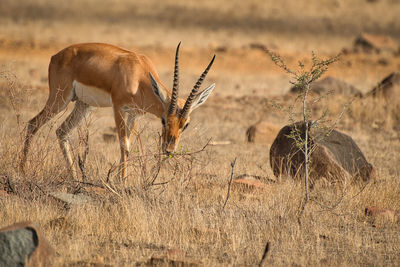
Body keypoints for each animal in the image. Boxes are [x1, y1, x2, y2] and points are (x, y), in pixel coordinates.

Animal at [20, 43, 216, 179]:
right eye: (163, 120)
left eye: (186, 124)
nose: (169, 149)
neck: (139, 75)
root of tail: (56, 56)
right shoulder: (118, 108)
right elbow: (124, 145)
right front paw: (122, 182)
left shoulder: (135, 114)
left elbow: (129, 144)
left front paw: (118, 180)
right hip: (60, 99)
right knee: (33, 123)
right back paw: (23, 171)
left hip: (84, 105)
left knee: (61, 131)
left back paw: (74, 179)